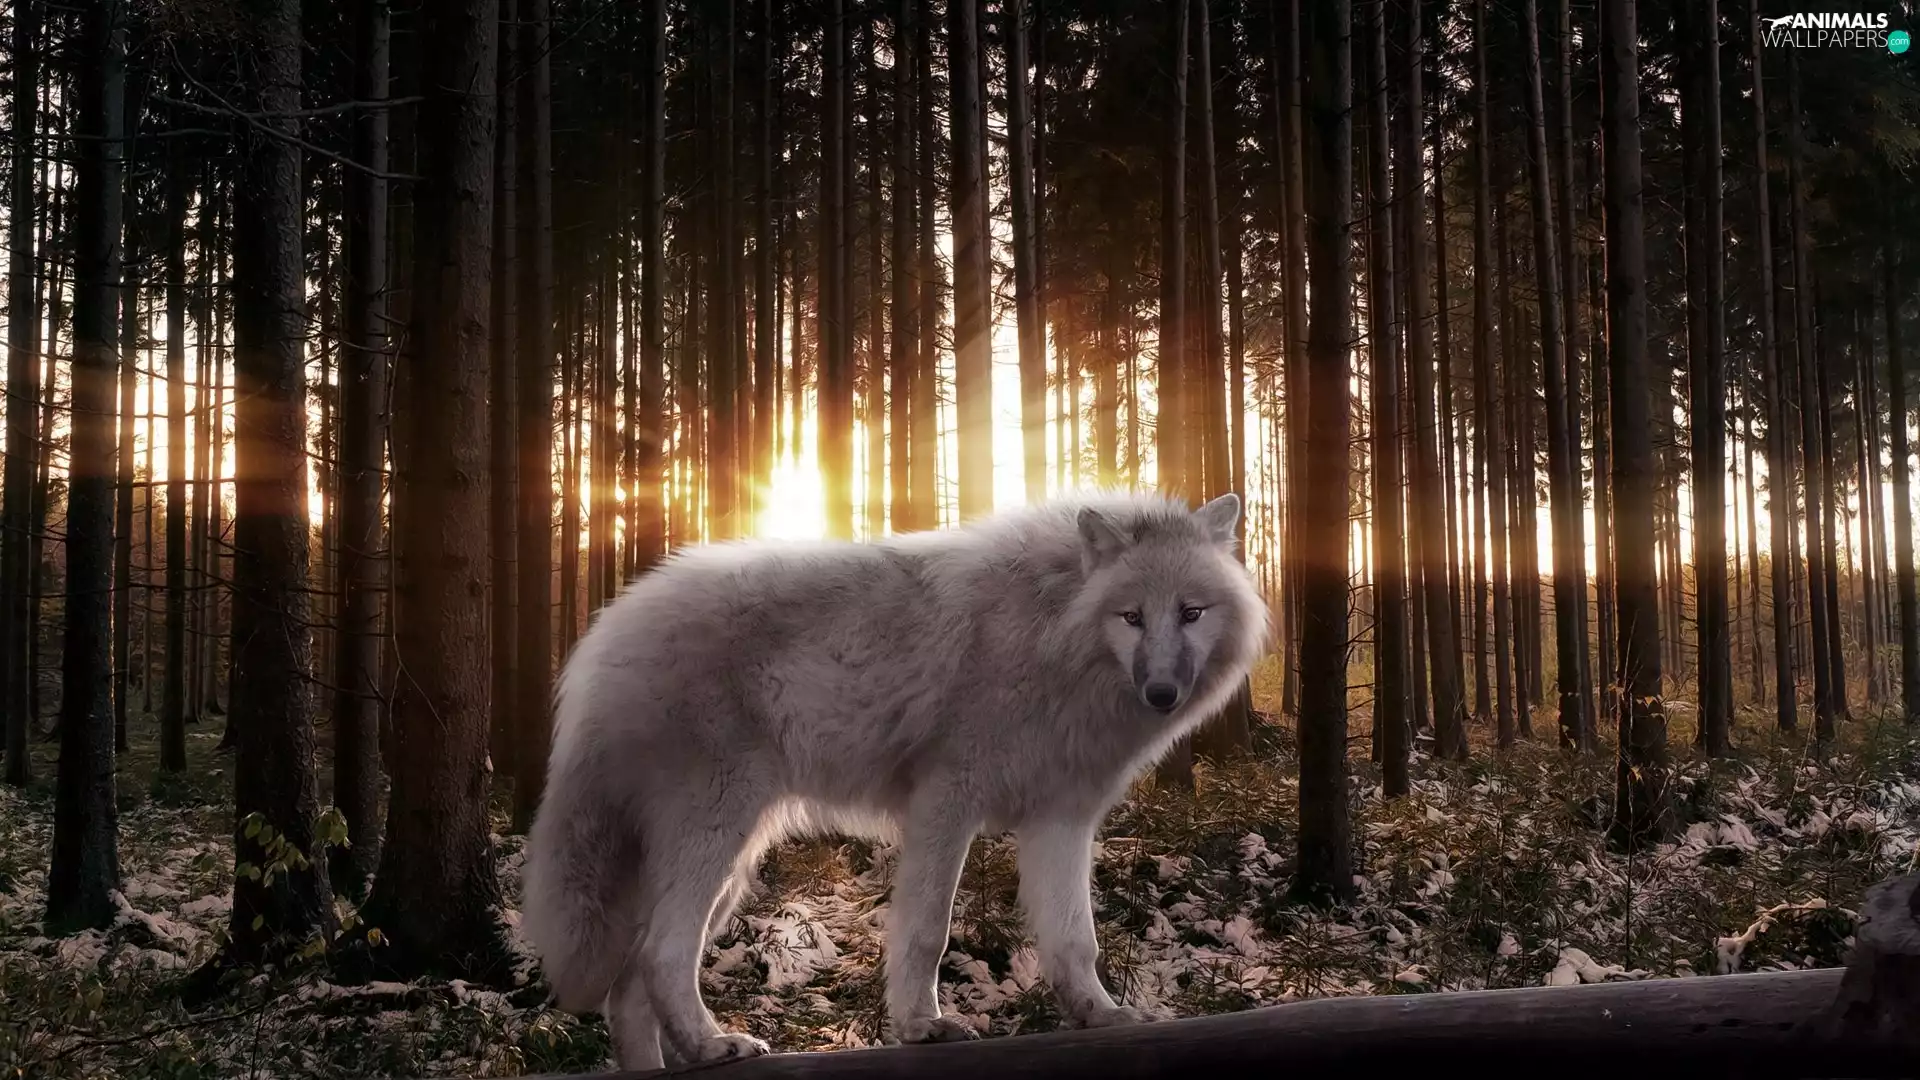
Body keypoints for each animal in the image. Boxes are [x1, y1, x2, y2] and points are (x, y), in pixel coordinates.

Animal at [519, 490, 1268, 1069]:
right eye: (1132, 617)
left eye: (1191, 613)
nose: (1163, 693)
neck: (1050, 633)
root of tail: (605, 631)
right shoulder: (945, 803)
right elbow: (927, 933)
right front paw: (921, 1027)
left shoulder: (1060, 819)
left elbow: (1074, 942)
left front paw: (1101, 1015)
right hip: (718, 836)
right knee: (661, 954)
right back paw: (712, 1045)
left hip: (731, 861)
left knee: (628, 988)